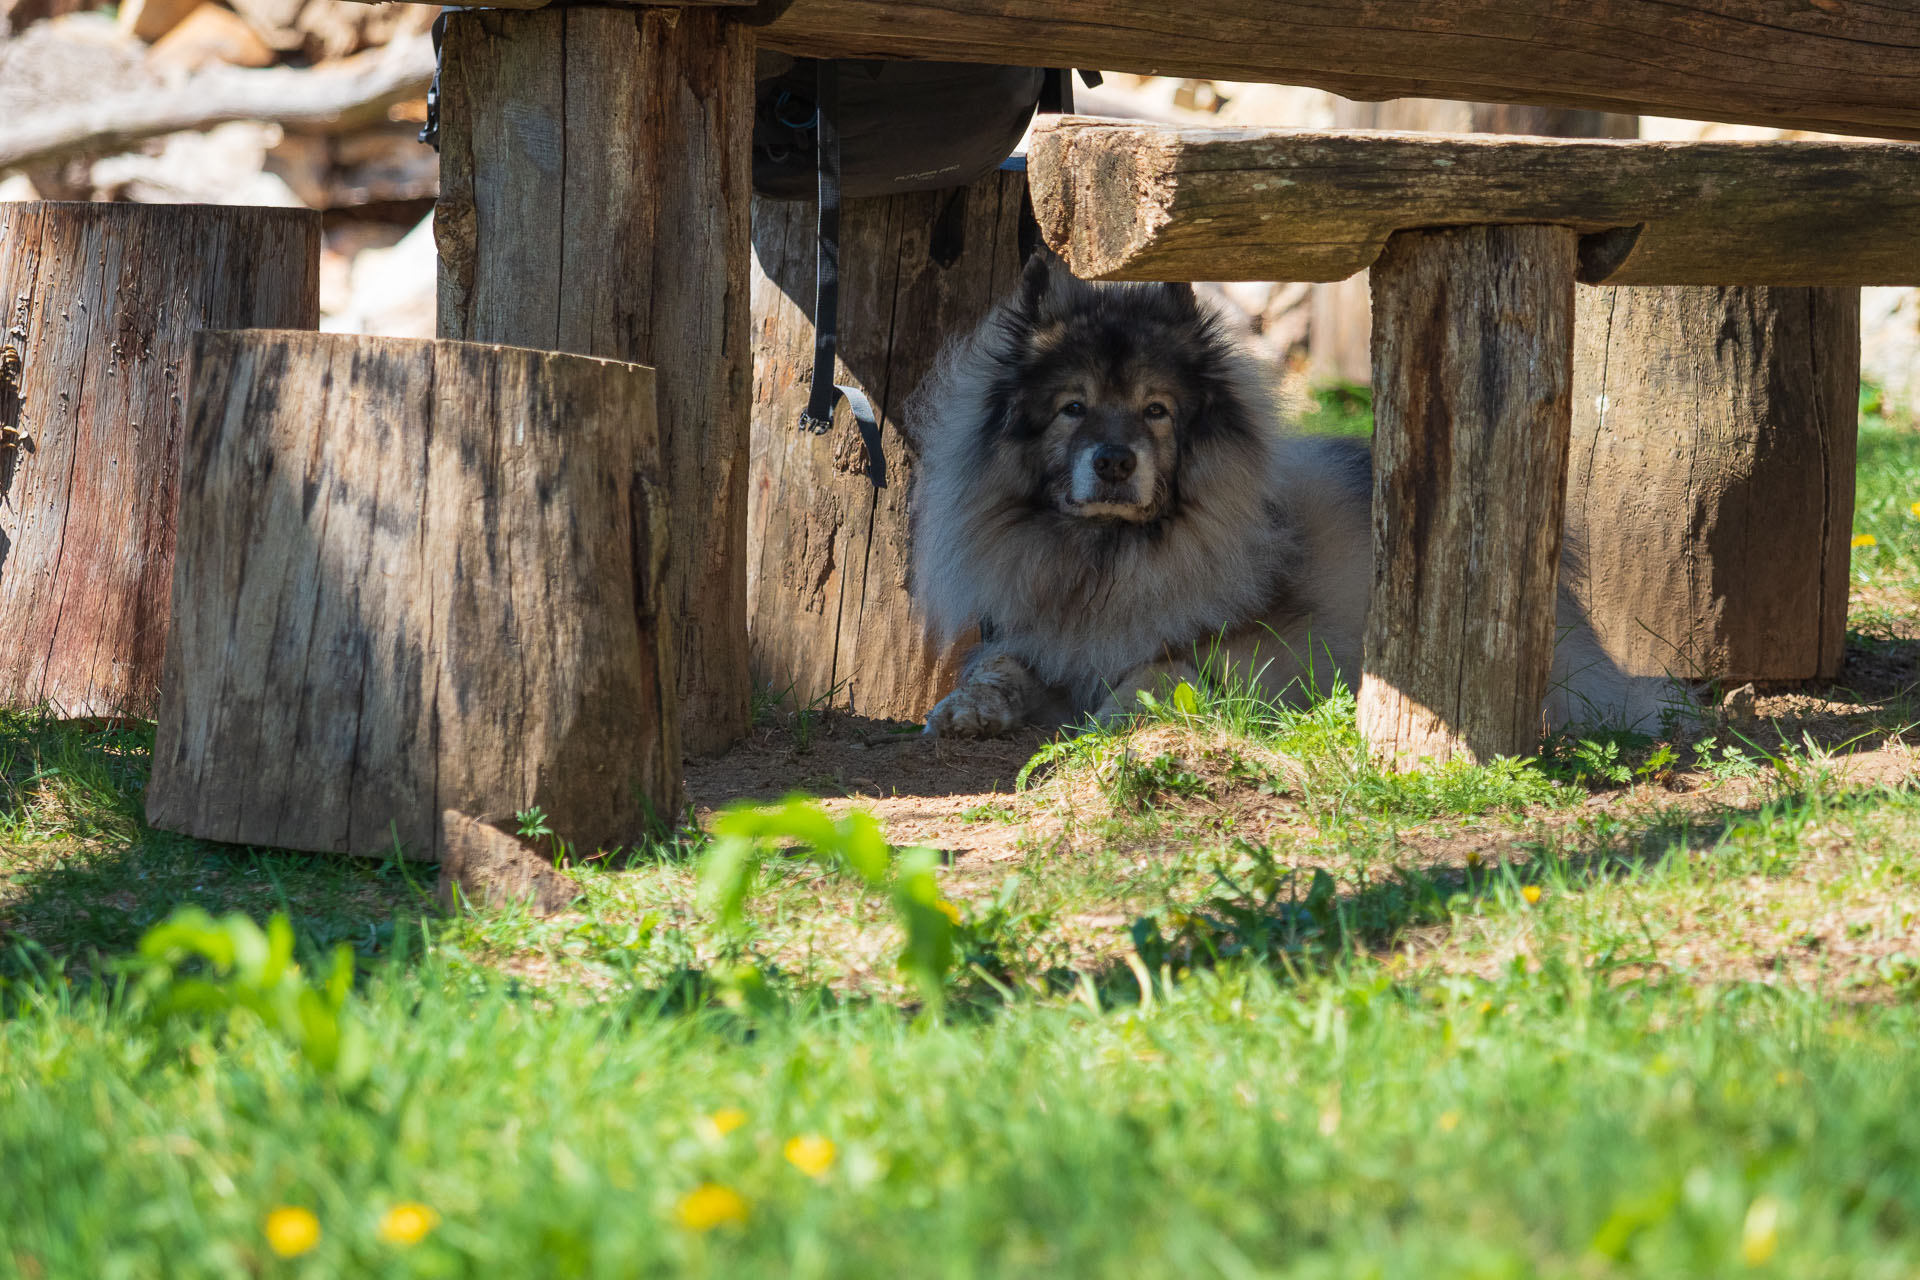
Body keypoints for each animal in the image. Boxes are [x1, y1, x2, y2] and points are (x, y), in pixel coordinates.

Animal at [906, 253, 1674, 740]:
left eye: (1156, 410)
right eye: (1073, 407)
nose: (1117, 461)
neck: (1107, 558)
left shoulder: (1284, 650)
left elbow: (1165, 667)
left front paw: (1111, 716)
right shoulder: (1032, 633)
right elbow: (997, 666)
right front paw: (968, 708)